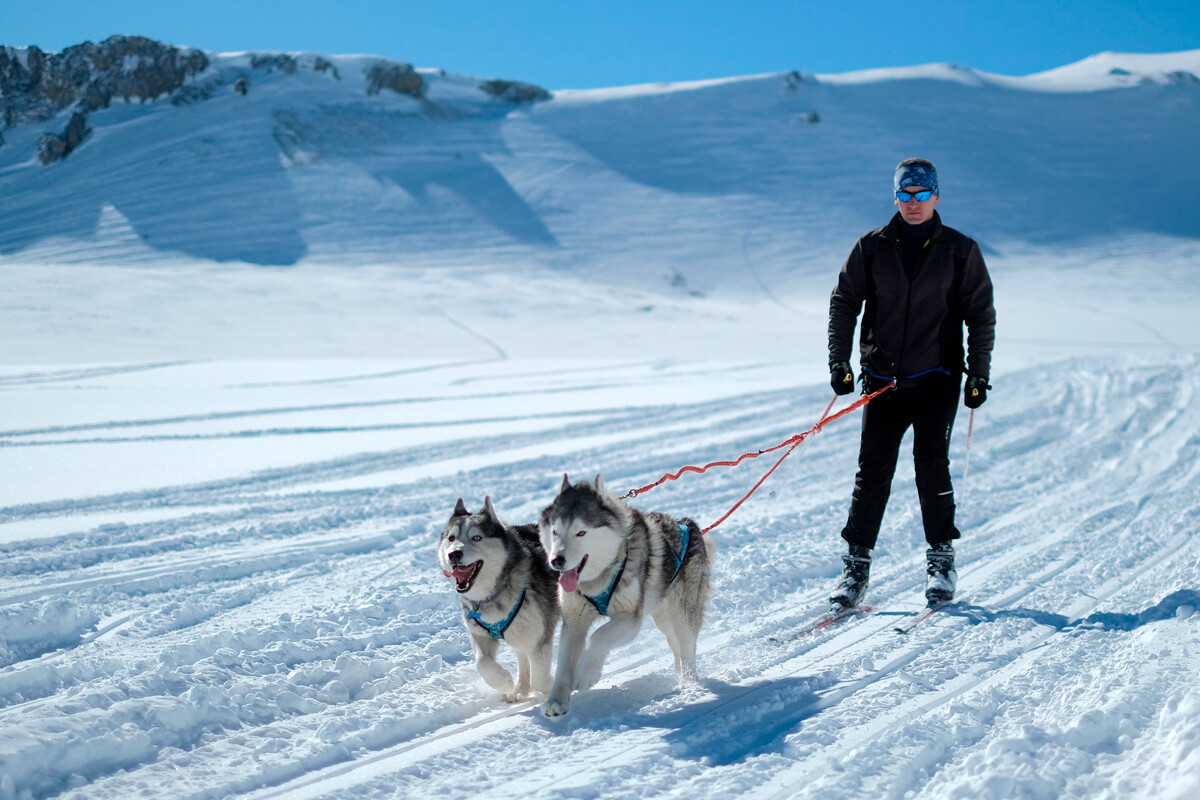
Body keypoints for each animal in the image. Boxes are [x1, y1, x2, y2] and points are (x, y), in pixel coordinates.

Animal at [439, 496, 559, 705]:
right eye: (451, 538)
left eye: (476, 537)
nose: (453, 554)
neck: (492, 594)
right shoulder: (481, 634)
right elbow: (482, 663)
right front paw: (504, 681)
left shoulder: (540, 636)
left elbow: (539, 679)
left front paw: (550, 689)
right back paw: (519, 688)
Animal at [535, 474, 710, 719]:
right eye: (555, 532)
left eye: (581, 532)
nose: (556, 560)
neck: (597, 579)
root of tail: (687, 523)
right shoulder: (574, 621)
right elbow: (563, 664)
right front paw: (557, 700)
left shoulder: (629, 619)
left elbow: (598, 637)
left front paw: (586, 673)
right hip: (663, 619)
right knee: (676, 646)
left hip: (682, 616)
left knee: (687, 648)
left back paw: (689, 683)